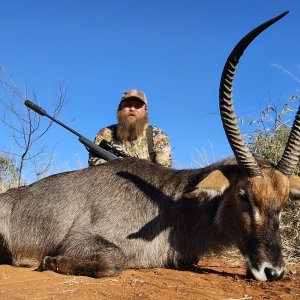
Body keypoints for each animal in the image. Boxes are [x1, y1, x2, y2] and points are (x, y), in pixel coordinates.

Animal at [0, 10, 298, 282]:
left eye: (284, 201)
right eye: (243, 194)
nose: (273, 271)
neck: (175, 207)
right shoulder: (83, 239)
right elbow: (113, 260)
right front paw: (48, 260)